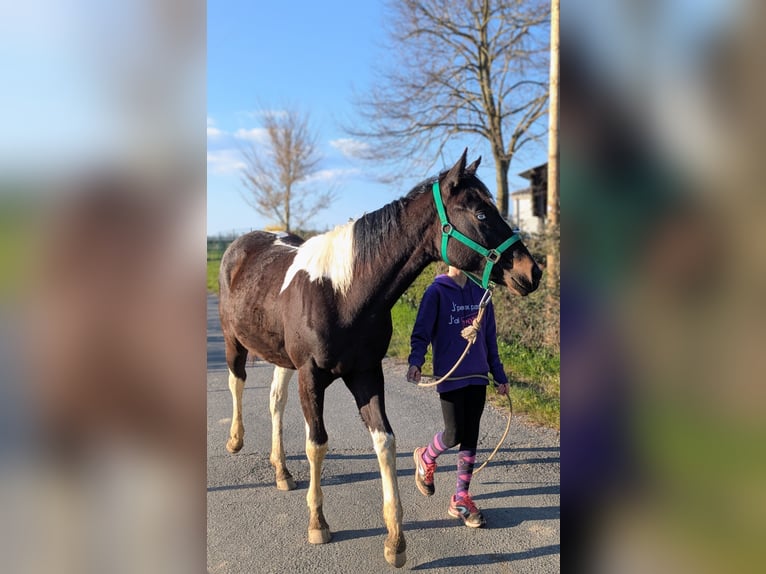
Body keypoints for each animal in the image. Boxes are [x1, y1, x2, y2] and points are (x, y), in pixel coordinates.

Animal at [217, 150, 542, 567]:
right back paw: (235, 440)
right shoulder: (311, 375)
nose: (532, 272)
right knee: (236, 382)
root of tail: (241, 244)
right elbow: (317, 444)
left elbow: (385, 443)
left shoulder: (367, 374)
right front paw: (318, 523)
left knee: (275, 402)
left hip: (281, 359)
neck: (342, 293)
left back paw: (282, 471)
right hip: (234, 342)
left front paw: (395, 541)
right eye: (482, 213)